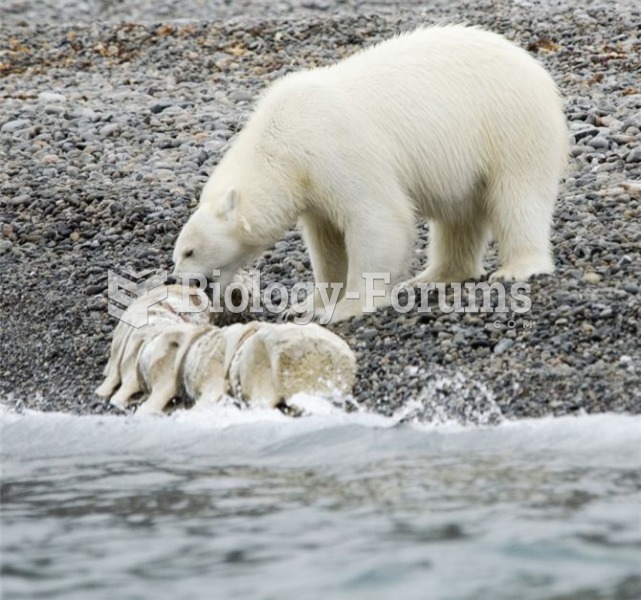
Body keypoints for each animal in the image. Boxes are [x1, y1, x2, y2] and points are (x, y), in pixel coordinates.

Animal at [172, 25, 568, 322]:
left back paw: (517, 267)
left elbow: (378, 219)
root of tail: (535, 67)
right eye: (178, 253)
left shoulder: (334, 151)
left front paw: (343, 309)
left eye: (189, 251)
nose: (182, 283)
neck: (281, 142)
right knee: (459, 216)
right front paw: (308, 304)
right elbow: (326, 242)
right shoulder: (311, 188)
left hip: (508, 124)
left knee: (518, 196)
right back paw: (434, 277)